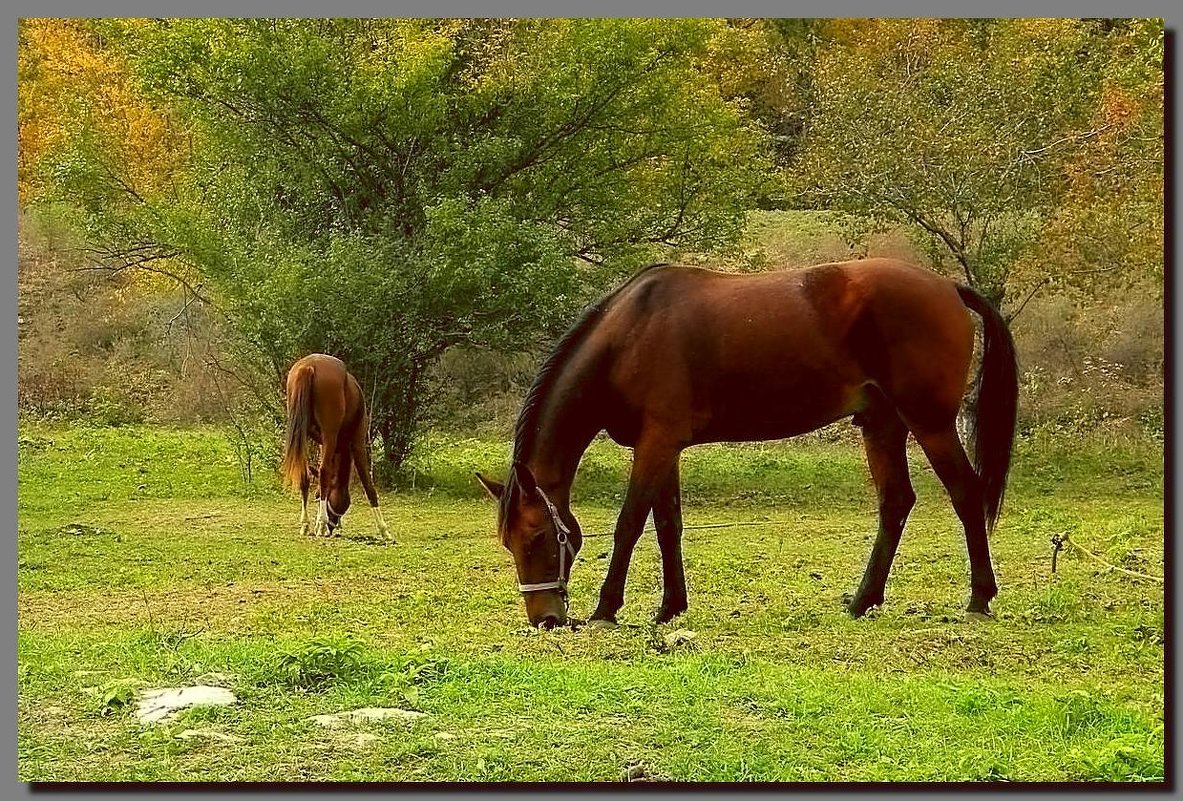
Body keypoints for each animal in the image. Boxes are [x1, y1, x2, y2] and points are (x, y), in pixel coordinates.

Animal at [279, 352, 390, 539]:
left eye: (317, 496)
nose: (333, 527)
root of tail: (309, 366)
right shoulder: (357, 443)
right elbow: (368, 485)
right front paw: (384, 529)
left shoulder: (323, 444)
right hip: (330, 434)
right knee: (324, 471)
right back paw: (322, 524)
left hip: (302, 431)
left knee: (305, 474)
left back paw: (306, 524)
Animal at [477, 259, 1017, 629]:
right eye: (508, 543)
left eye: (539, 538)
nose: (546, 619)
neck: (629, 335)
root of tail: (946, 286)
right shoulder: (663, 447)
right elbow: (668, 524)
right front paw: (670, 608)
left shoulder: (656, 443)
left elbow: (629, 524)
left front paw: (606, 609)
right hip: (881, 425)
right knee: (896, 503)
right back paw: (863, 600)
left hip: (931, 424)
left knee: (966, 495)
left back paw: (979, 598)